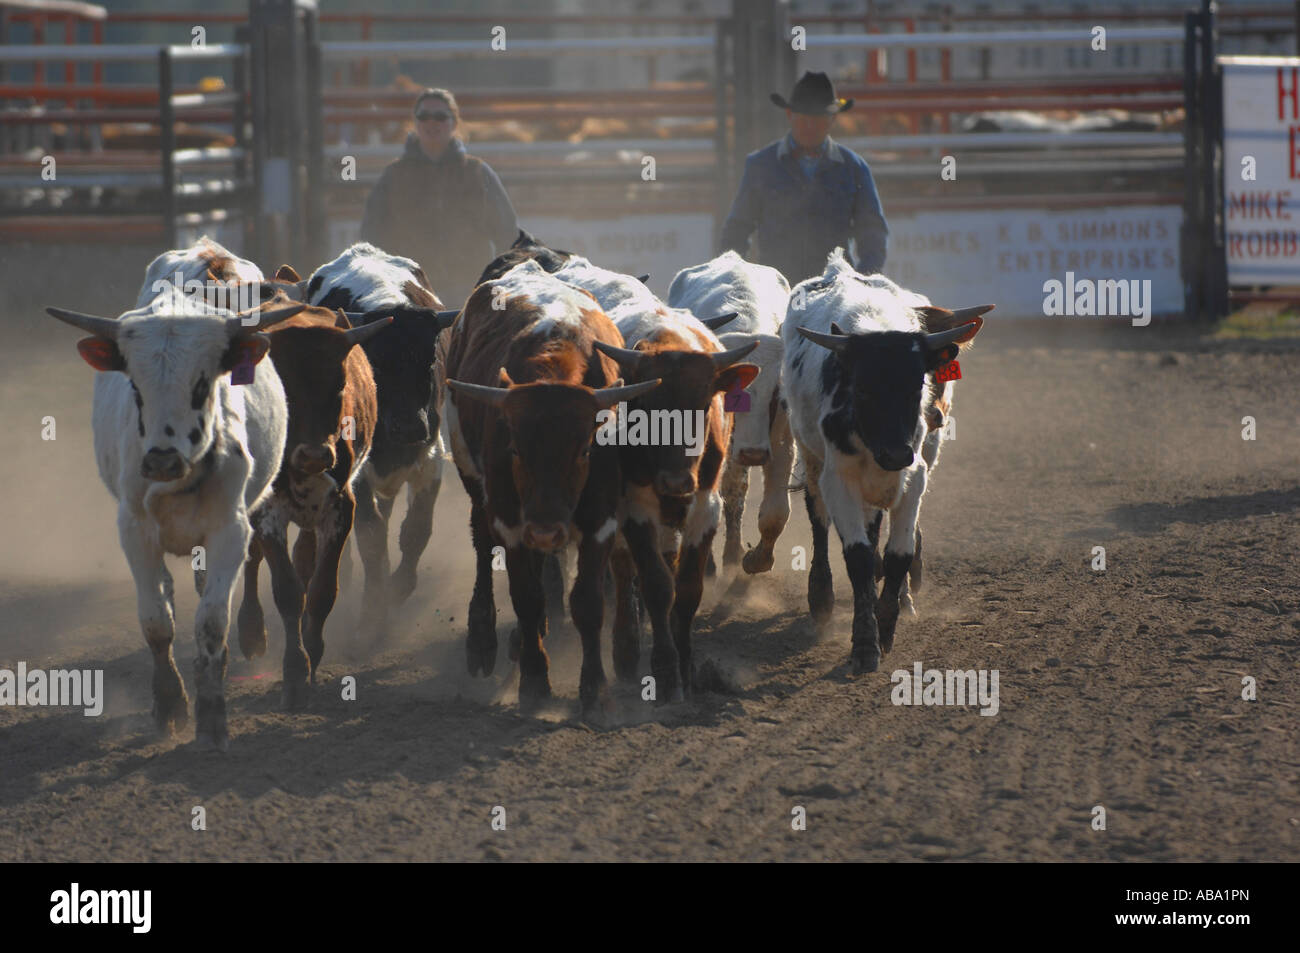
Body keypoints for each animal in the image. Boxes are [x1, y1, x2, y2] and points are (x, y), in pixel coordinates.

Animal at [237, 297, 390, 707]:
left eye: (339, 388)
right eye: (284, 390)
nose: (315, 456)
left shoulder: (340, 508)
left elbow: (322, 590)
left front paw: (313, 653)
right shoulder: (267, 511)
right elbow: (287, 590)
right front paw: (293, 671)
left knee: (304, 558)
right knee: (252, 558)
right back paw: (251, 630)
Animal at [444, 260, 660, 707]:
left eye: (585, 449)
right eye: (514, 449)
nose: (545, 531)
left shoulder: (600, 519)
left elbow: (588, 603)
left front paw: (594, 686)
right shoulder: (512, 520)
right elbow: (525, 595)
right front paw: (534, 680)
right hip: (475, 482)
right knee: (482, 545)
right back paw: (483, 639)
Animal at [592, 304, 759, 696]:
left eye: (704, 405)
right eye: (645, 406)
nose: (676, 481)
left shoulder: (705, 506)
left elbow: (687, 590)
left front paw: (687, 667)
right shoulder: (634, 509)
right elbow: (655, 584)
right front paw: (665, 672)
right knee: (624, 570)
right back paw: (626, 649)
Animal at [780, 249, 982, 670]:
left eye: (918, 384)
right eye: (862, 388)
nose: (895, 453)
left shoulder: (912, 476)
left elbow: (897, 555)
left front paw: (887, 622)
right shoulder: (839, 478)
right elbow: (856, 556)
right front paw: (864, 643)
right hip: (810, 457)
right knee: (818, 519)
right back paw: (821, 596)